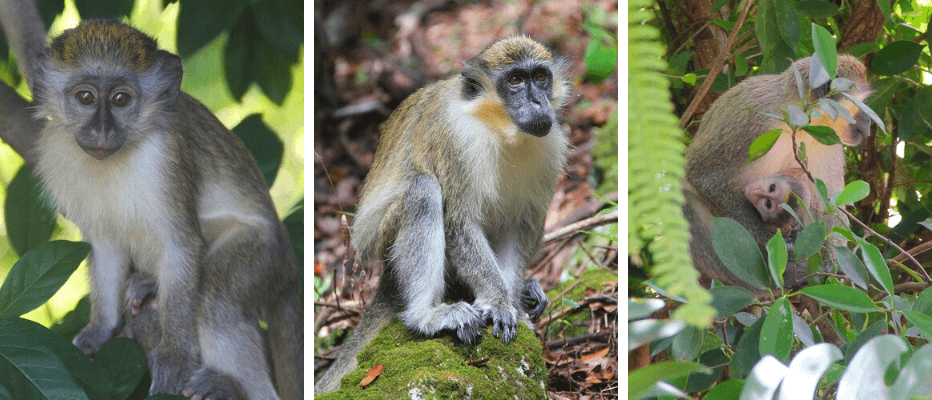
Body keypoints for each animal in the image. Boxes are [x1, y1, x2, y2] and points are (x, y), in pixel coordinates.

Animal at [31, 21, 302, 396]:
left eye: (121, 100)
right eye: (86, 98)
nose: (101, 131)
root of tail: (290, 264)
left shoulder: (166, 157)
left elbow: (181, 245)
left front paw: (175, 357)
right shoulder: (55, 152)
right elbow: (105, 245)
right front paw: (100, 330)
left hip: (265, 257)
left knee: (214, 298)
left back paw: (233, 386)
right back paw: (147, 284)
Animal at [316, 36, 572, 394]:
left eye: (540, 77)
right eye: (515, 81)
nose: (538, 101)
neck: (498, 128)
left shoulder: (550, 148)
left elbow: (520, 229)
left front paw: (513, 308)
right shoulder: (457, 142)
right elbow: (459, 224)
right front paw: (499, 301)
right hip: (385, 241)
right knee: (423, 189)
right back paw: (426, 315)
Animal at [684, 54, 872, 290]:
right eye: (860, 104)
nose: (869, 125)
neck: (802, 120)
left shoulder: (830, 143)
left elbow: (829, 208)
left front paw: (833, 264)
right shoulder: (751, 117)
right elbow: (703, 176)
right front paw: (766, 242)